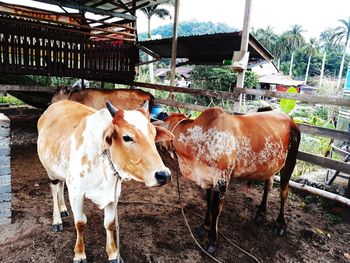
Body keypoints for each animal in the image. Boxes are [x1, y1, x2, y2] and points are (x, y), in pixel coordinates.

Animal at [37, 100, 174, 262]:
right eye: (127, 137)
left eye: (153, 135)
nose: (164, 175)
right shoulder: (76, 194)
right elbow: (80, 223)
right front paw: (80, 253)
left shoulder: (113, 195)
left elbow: (109, 224)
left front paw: (113, 253)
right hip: (50, 170)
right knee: (54, 190)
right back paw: (57, 219)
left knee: (61, 185)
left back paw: (64, 209)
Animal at [157, 108, 300, 255]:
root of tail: (289, 118)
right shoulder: (207, 178)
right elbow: (208, 202)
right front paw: (205, 225)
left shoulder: (222, 179)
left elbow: (215, 208)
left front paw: (211, 240)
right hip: (270, 165)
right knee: (268, 185)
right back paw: (261, 211)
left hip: (290, 162)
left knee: (284, 192)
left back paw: (281, 224)